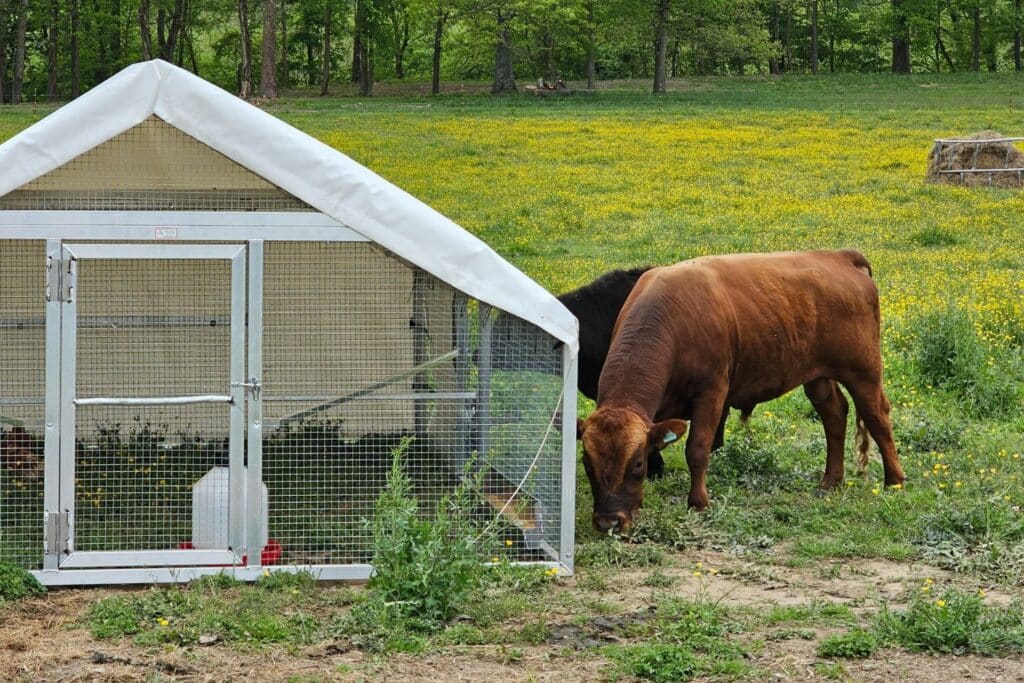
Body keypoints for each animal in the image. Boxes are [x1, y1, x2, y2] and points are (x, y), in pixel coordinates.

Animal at [581, 248, 909, 532]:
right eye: (587, 463)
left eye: (637, 464)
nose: (609, 522)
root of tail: (839, 255)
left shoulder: (711, 394)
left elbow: (697, 449)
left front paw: (698, 502)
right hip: (817, 376)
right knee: (834, 415)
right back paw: (831, 480)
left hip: (863, 371)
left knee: (877, 417)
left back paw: (894, 480)